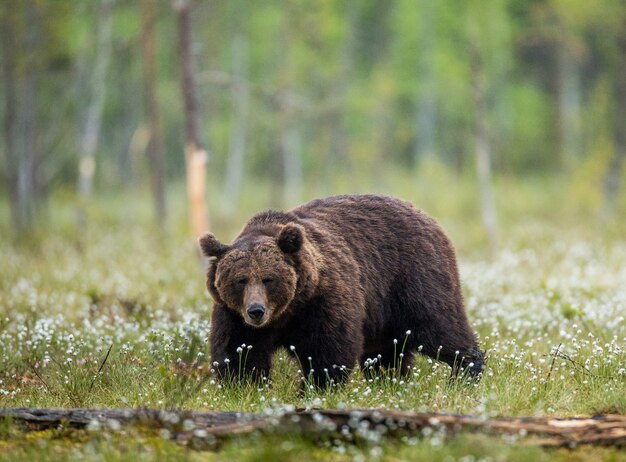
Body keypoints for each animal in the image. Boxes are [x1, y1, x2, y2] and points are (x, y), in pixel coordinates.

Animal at [200, 193, 482, 388]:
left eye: (269, 279)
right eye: (240, 280)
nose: (256, 311)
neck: (288, 310)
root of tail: (427, 216)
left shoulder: (323, 299)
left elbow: (327, 348)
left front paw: (316, 388)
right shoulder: (233, 315)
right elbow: (239, 352)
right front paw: (244, 386)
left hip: (413, 279)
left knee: (439, 328)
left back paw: (466, 372)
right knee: (385, 353)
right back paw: (388, 382)